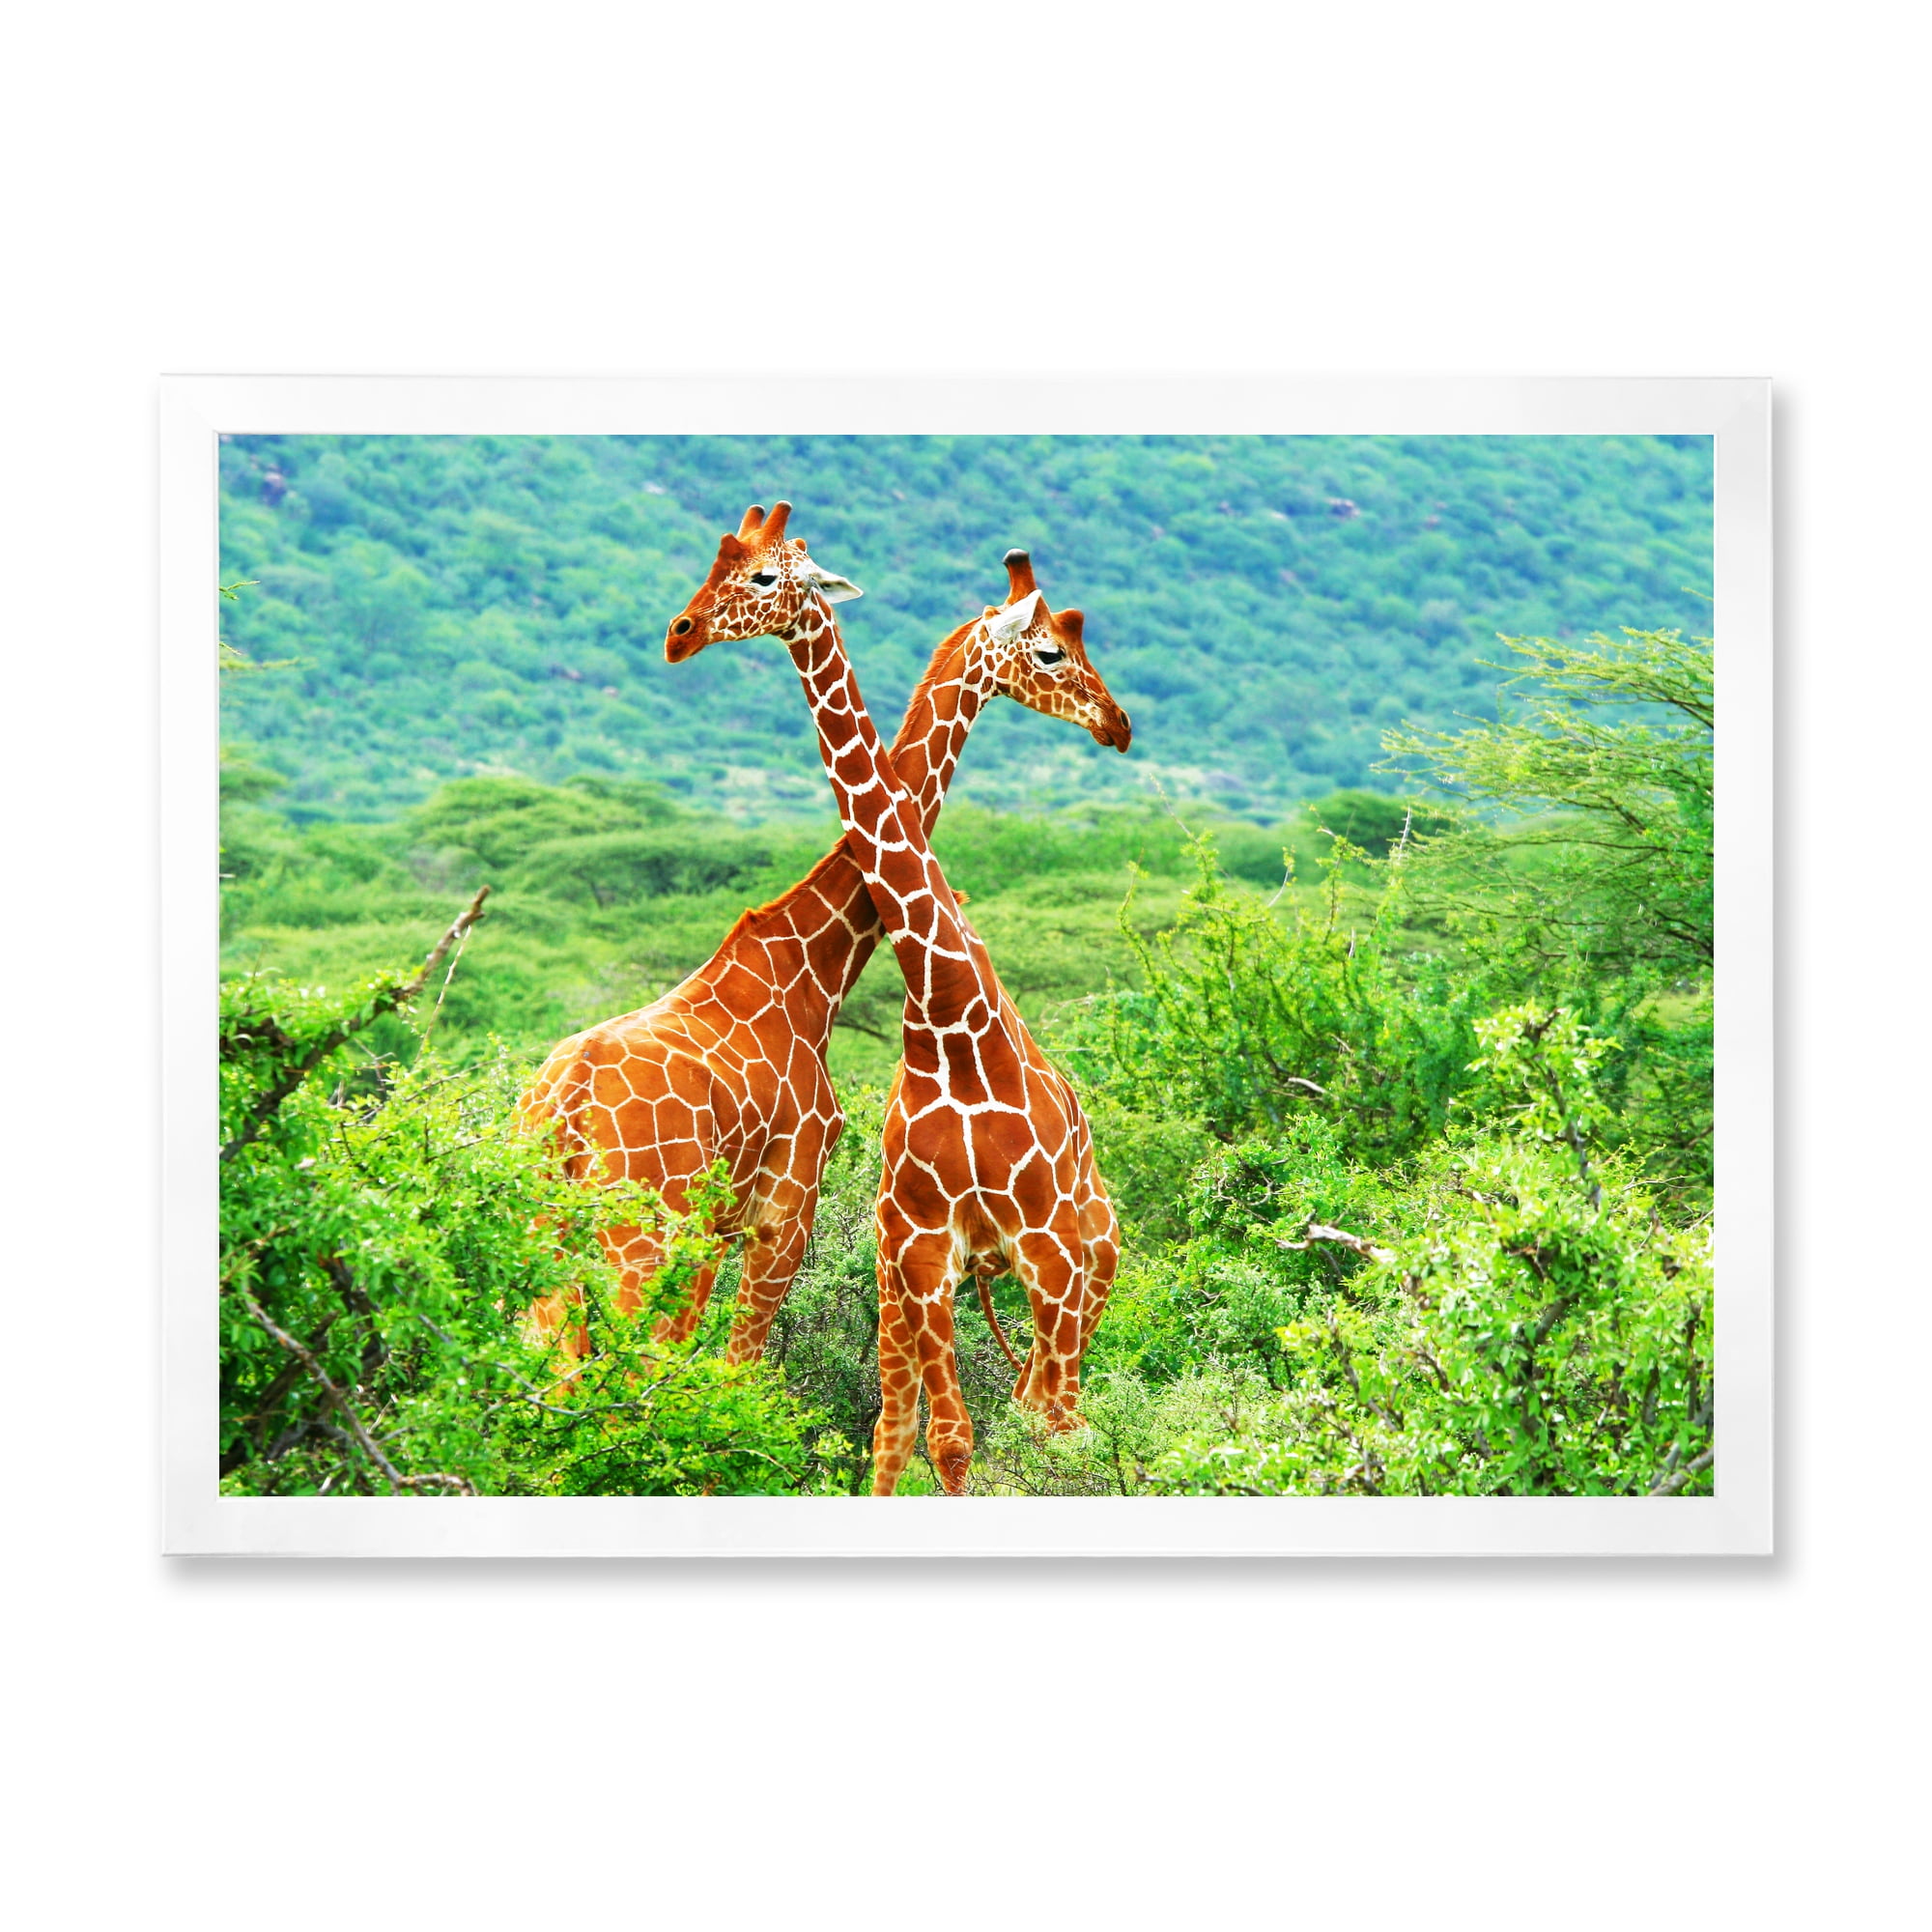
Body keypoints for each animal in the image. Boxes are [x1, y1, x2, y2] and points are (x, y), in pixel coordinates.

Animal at [520, 512, 1130, 1375]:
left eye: (755, 573)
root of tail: (562, 1107)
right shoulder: (785, 1209)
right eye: (1053, 650)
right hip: (638, 1231)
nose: (1117, 722)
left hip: (550, 1233)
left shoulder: (727, 1224)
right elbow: (735, 1371)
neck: (815, 966)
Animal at [664, 502, 1131, 1496]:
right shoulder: (919, 1249)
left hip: (1090, 1261)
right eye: (1052, 651)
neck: (948, 1017)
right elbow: (939, 1438)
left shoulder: (1046, 1250)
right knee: (932, 1417)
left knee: (1058, 1414)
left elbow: (1030, 1431)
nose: (1118, 724)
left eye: (764, 576)